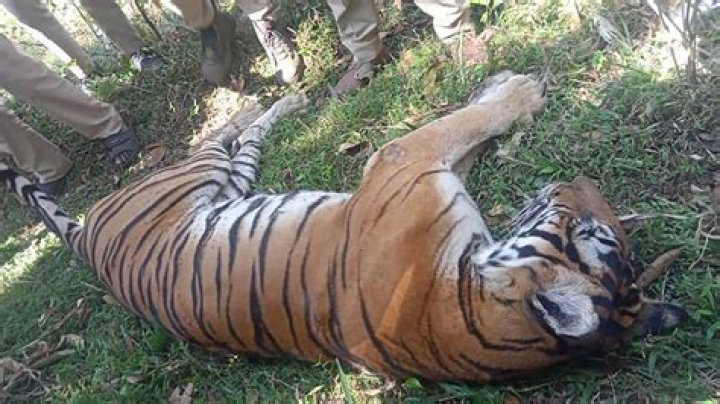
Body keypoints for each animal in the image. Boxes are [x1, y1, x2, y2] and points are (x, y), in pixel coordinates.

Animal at [1, 71, 687, 383]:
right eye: (590, 229)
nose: (574, 182)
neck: (466, 307)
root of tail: (88, 241)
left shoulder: (410, 170)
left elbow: (462, 129)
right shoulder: (405, 161)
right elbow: (462, 125)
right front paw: (516, 89)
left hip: (220, 181)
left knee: (238, 138)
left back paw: (277, 100)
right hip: (195, 175)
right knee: (222, 133)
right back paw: (264, 99)